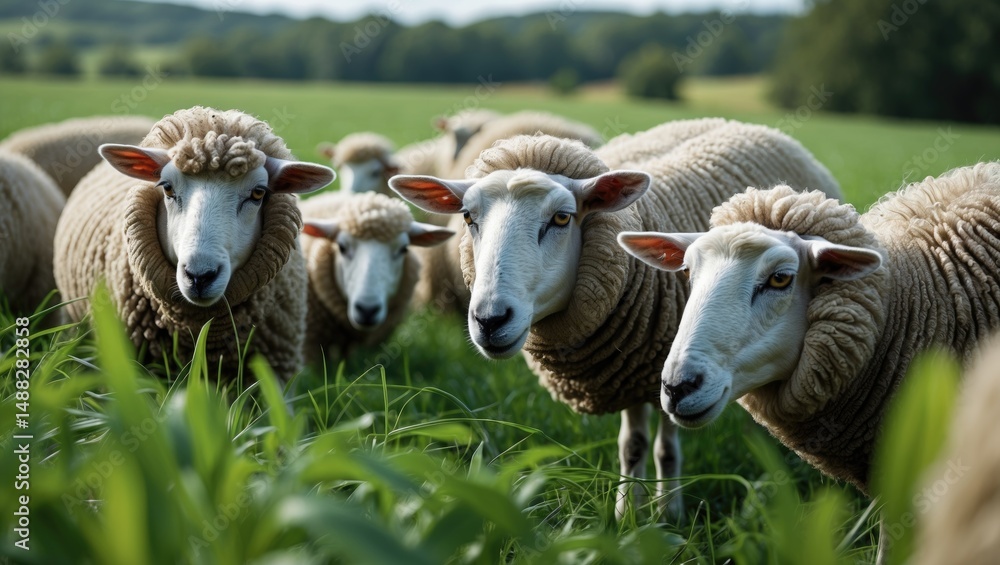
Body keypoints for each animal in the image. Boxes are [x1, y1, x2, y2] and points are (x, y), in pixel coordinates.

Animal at [390, 118, 843, 519]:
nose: (489, 319)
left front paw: (668, 514)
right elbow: (632, 445)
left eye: (562, 218)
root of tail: (754, 125)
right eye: (468, 217)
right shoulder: (625, 369)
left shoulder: (665, 368)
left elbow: (666, 449)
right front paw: (627, 514)